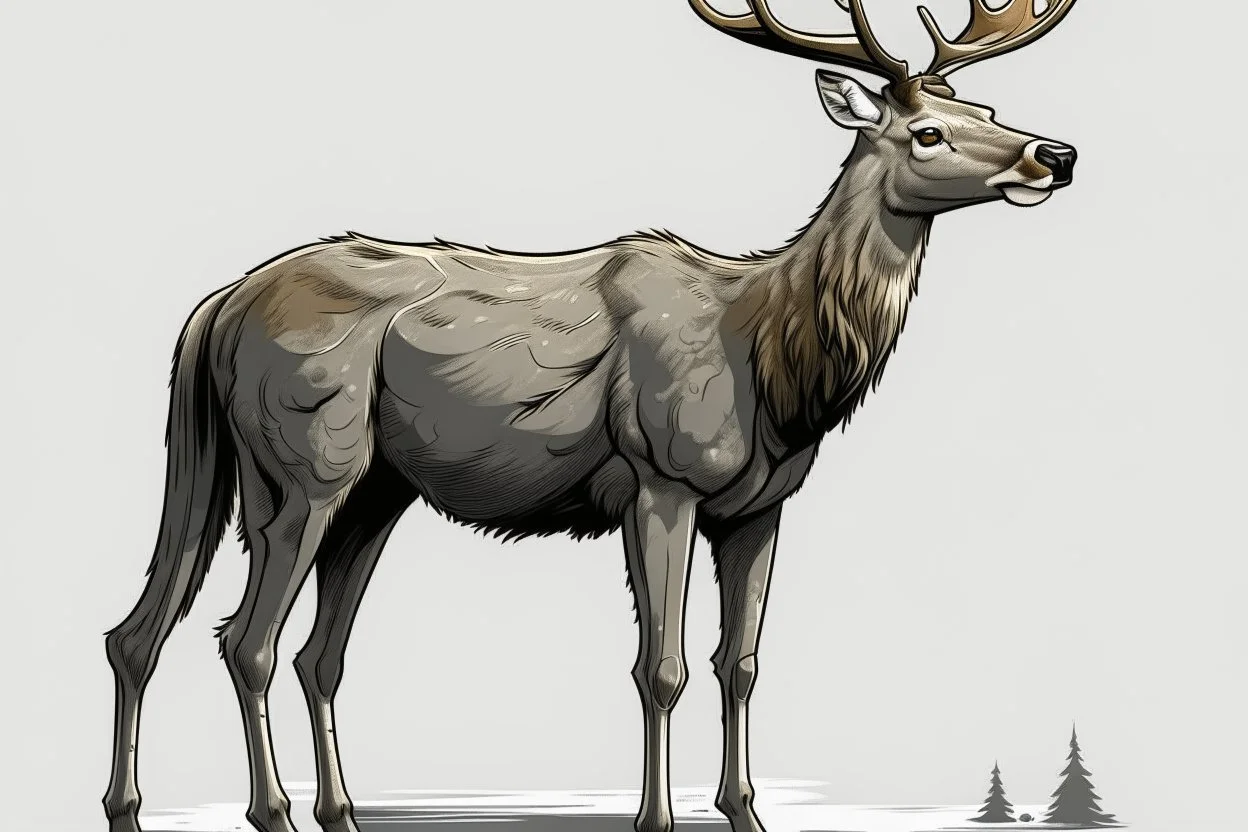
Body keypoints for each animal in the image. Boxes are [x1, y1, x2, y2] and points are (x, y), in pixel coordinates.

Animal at [102, 1, 1083, 831]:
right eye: (927, 131)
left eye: (985, 105)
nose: (1055, 154)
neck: (777, 368)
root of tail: (217, 307)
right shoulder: (661, 478)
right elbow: (663, 668)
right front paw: (657, 817)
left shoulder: (762, 506)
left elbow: (741, 666)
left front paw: (747, 811)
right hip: (304, 464)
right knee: (244, 642)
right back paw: (257, 810)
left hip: (374, 493)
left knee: (262, 648)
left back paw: (280, 809)